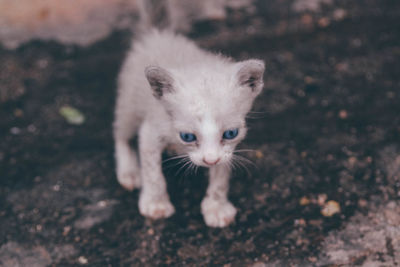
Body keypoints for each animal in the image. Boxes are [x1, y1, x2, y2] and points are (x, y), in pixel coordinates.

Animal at [113, 29, 262, 227]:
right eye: (187, 137)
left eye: (230, 133)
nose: (210, 161)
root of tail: (157, 34)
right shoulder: (151, 131)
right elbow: (153, 174)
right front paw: (156, 203)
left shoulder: (227, 150)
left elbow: (221, 175)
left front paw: (216, 207)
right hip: (129, 104)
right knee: (121, 133)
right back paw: (128, 172)